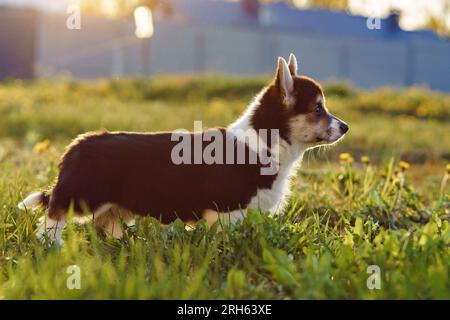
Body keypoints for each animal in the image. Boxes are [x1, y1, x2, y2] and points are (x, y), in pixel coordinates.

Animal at [17, 53, 348, 244]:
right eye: (318, 109)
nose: (345, 127)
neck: (265, 141)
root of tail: (75, 145)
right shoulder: (228, 212)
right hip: (81, 195)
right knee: (53, 217)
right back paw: (52, 247)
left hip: (112, 206)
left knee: (104, 224)